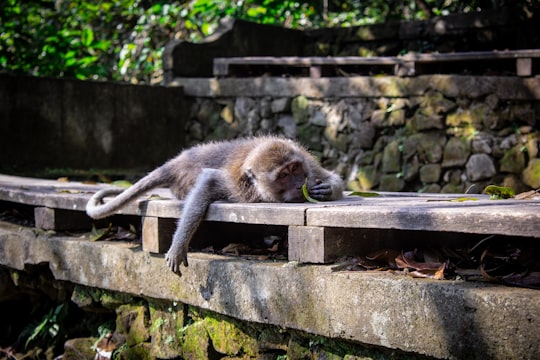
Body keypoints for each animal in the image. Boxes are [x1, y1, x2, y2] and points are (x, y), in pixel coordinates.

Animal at [86, 136, 344, 274]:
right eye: (283, 175)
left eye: (296, 168)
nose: (300, 184)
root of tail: (175, 162)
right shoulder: (237, 186)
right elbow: (208, 181)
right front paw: (179, 245)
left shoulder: (308, 163)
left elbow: (331, 177)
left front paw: (326, 189)